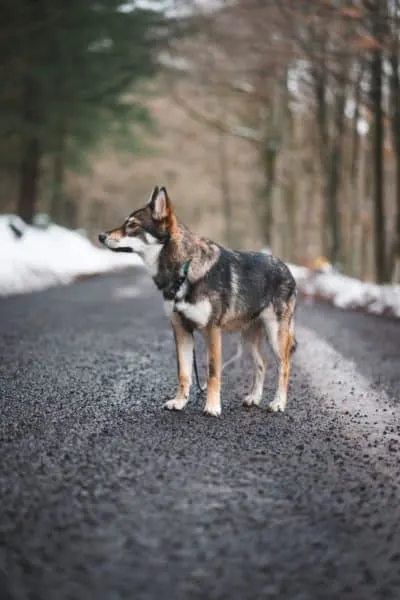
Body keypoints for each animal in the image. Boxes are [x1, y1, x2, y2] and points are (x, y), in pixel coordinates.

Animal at [97, 186, 296, 418]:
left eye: (132, 225)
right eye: (125, 223)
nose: (101, 236)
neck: (184, 269)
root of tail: (286, 267)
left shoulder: (212, 331)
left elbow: (212, 373)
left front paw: (212, 407)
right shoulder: (181, 331)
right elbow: (183, 373)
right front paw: (179, 402)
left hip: (275, 336)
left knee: (284, 366)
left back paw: (278, 403)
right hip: (248, 339)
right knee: (262, 364)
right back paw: (254, 398)